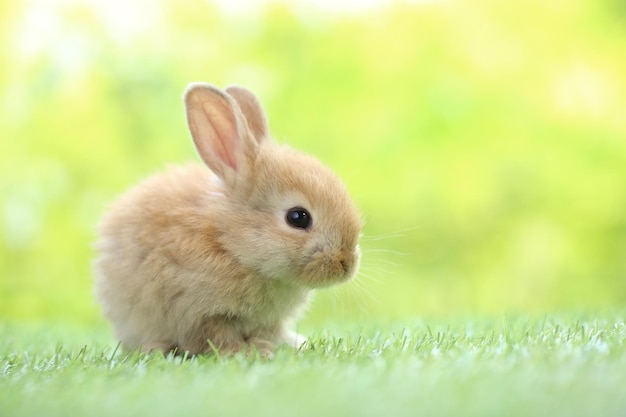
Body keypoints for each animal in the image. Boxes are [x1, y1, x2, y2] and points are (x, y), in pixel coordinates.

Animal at [92, 83, 360, 356]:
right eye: (298, 217)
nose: (346, 263)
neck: (229, 244)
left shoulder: (268, 321)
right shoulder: (200, 312)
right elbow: (217, 337)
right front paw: (251, 352)